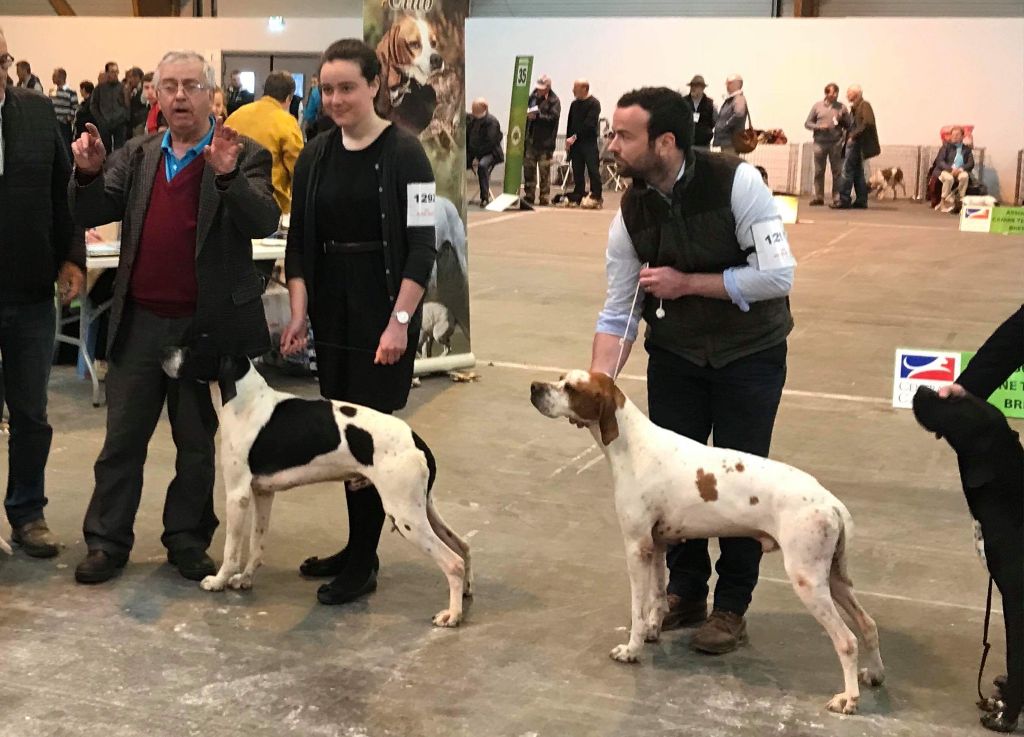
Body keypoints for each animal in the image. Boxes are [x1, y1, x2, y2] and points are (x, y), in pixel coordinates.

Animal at [162, 348, 471, 626]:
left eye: (196, 346)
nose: (163, 355)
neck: (246, 402)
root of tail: (417, 441)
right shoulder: (263, 493)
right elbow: (257, 544)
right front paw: (246, 579)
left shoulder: (237, 495)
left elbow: (231, 550)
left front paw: (218, 581)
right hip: (422, 508)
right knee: (463, 546)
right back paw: (466, 593)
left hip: (406, 516)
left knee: (453, 562)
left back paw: (451, 615)